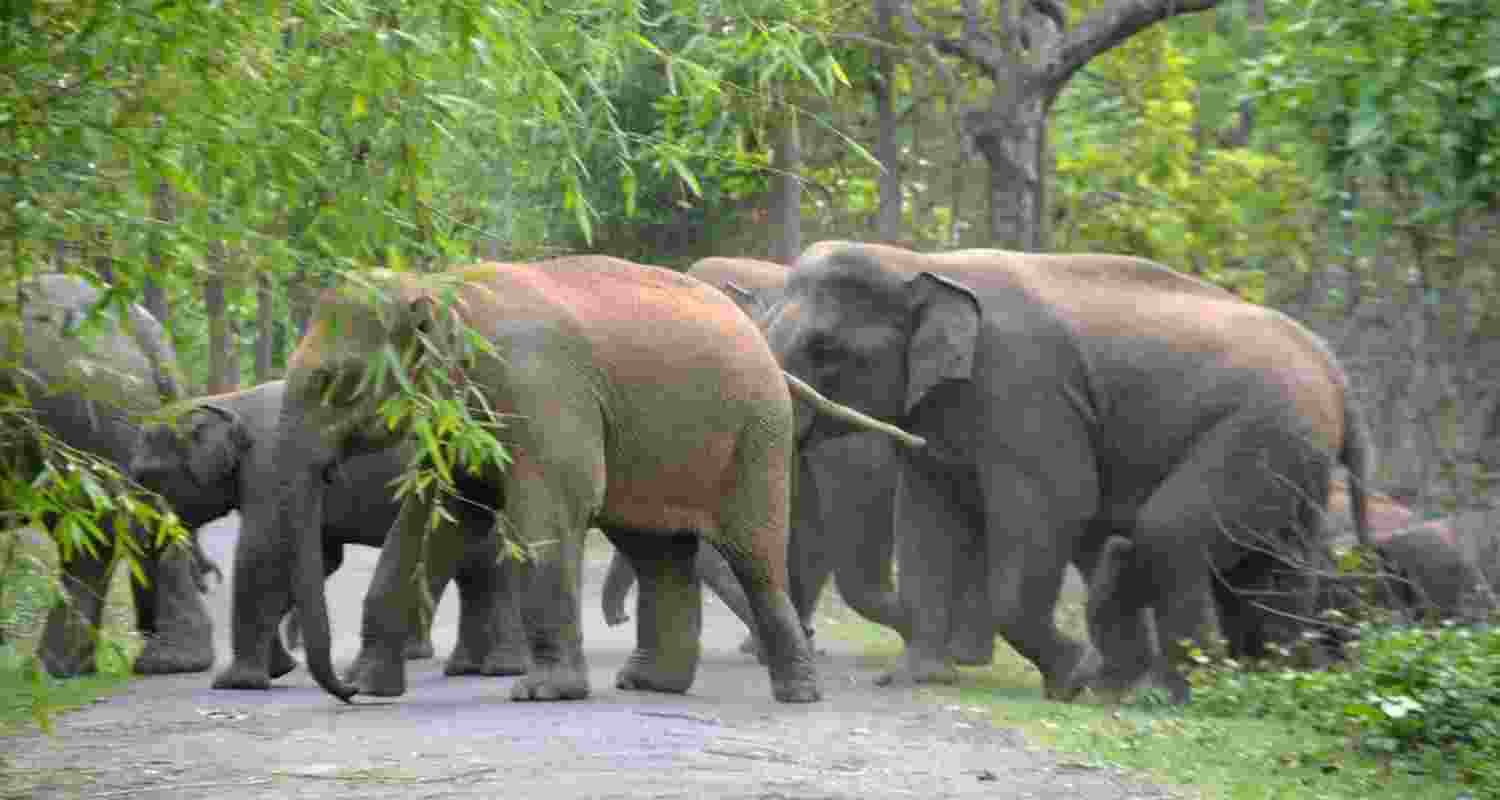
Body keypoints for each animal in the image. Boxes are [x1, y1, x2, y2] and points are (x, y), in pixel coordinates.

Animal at [128, 380, 530, 690]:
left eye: (147, 476)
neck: (229, 400)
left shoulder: (269, 467)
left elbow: (263, 553)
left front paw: (233, 684)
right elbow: (317, 560)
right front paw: (279, 670)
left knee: (492, 564)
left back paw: (500, 669)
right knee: (476, 569)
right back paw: (465, 669)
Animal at [239, 257, 917, 704]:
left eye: (334, 382)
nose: (340, 690)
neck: (442, 287)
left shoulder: (540, 394)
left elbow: (549, 509)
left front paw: (543, 694)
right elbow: (432, 519)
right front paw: (374, 687)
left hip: (756, 435)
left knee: (751, 555)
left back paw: (796, 693)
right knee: (657, 551)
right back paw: (651, 685)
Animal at [764, 241, 1373, 704]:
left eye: (825, 348)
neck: (920, 261)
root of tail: (1333, 366)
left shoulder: (1025, 390)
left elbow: (1056, 506)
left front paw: (1072, 678)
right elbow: (928, 523)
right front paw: (916, 678)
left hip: (1263, 429)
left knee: (1171, 535)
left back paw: (1178, 692)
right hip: (1295, 456)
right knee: (1274, 565)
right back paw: (1253, 683)